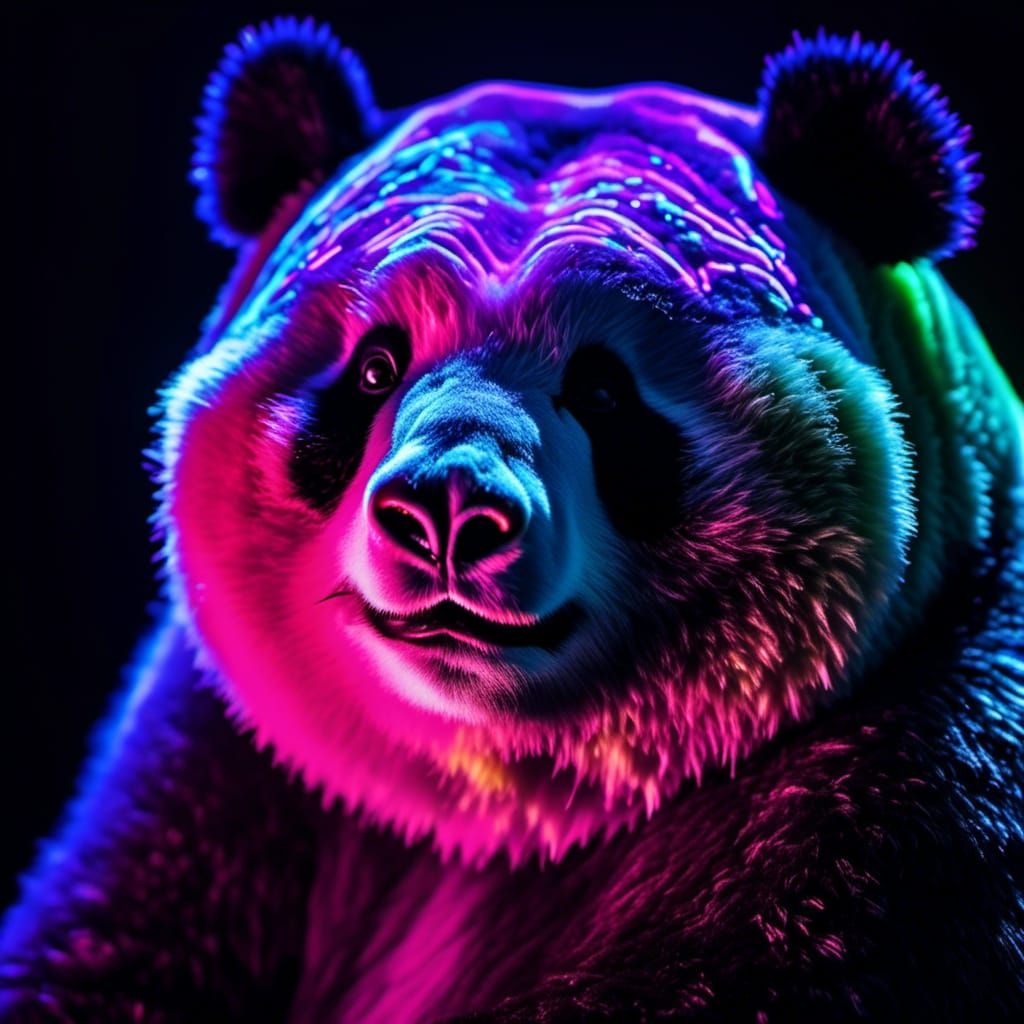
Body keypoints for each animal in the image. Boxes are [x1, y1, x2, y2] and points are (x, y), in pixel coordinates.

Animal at [1, 15, 1022, 1023]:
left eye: (605, 391)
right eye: (375, 367)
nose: (447, 508)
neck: (491, 802)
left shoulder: (906, 803)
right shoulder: (213, 787)